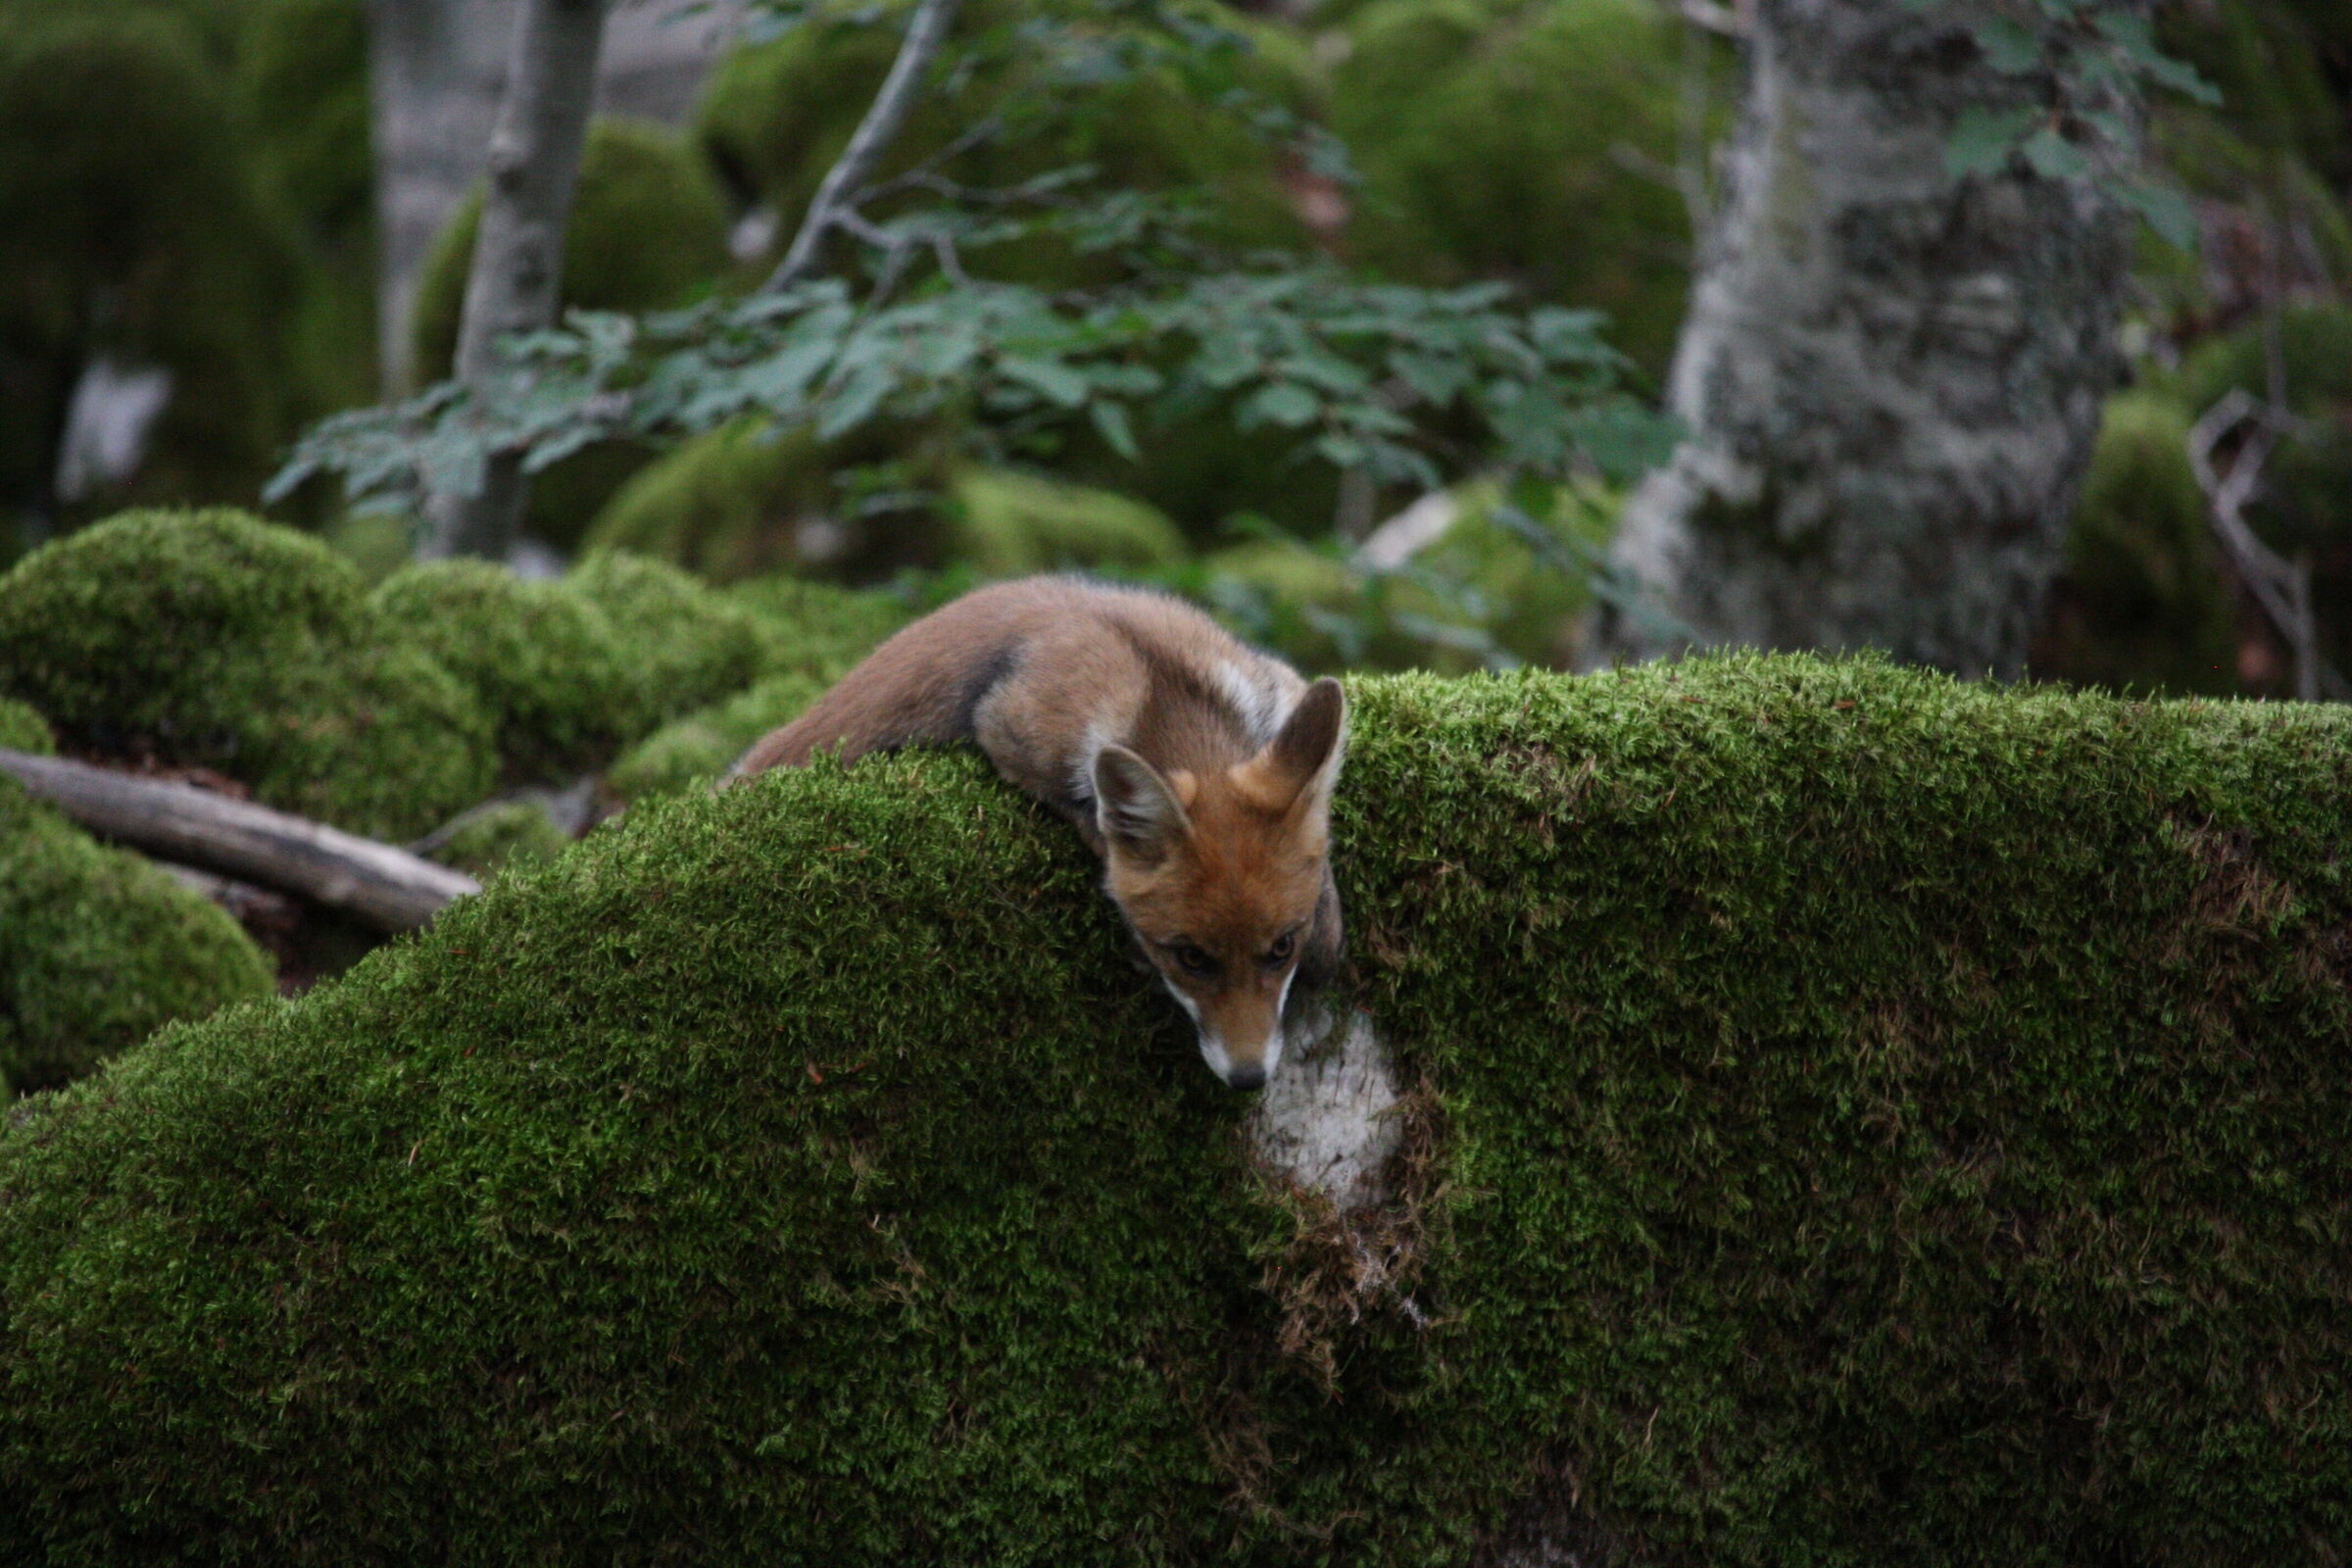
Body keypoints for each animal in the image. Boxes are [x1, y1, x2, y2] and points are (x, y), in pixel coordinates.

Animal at [730, 576, 1345, 1091]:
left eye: (1281, 948)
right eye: (1190, 957)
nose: (1249, 1079)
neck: (1162, 684)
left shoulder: (1279, 687)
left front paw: (1326, 920)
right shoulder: (1004, 727)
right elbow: (1088, 823)